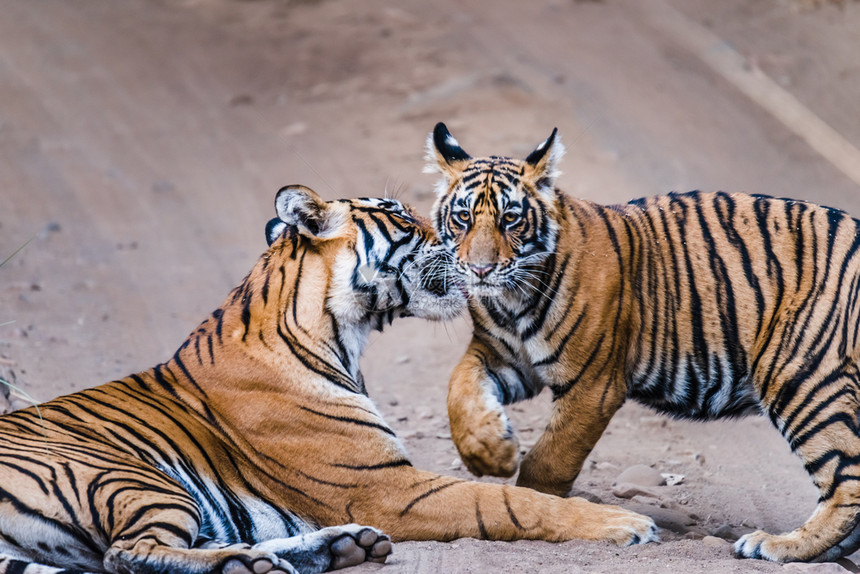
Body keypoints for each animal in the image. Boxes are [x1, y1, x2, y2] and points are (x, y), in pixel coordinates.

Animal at [1, 184, 660, 574]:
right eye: (401, 216)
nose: (462, 245)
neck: (342, 334)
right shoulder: (386, 486)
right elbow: (510, 501)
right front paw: (625, 524)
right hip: (129, 476)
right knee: (128, 554)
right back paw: (249, 563)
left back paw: (340, 546)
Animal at [428, 124, 860, 564]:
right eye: (463, 217)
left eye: (511, 219)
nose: (480, 269)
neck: (512, 300)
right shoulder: (501, 356)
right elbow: (458, 388)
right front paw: (488, 451)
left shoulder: (593, 385)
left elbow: (548, 461)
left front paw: (538, 503)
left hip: (804, 379)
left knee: (847, 481)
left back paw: (776, 545)